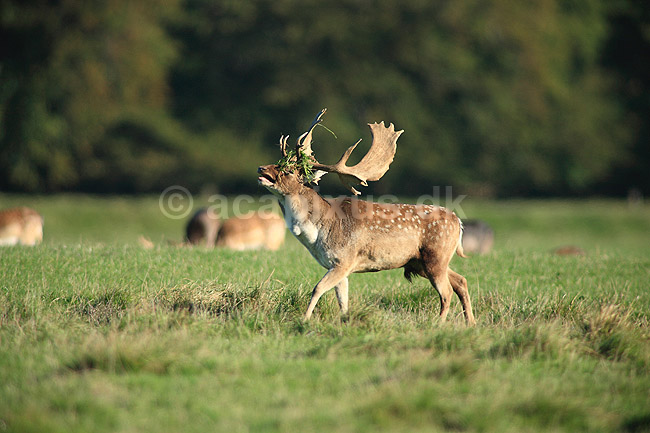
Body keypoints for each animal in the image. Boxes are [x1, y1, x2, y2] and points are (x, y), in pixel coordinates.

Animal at [257, 109, 476, 325]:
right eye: (277, 163)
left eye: (287, 170)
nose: (261, 168)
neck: (318, 231)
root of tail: (458, 221)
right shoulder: (337, 265)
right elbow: (342, 300)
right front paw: (345, 322)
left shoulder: (344, 260)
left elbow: (317, 288)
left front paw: (304, 319)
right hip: (422, 262)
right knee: (461, 281)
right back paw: (470, 323)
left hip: (436, 255)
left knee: (446, 292)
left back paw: (438, 324)